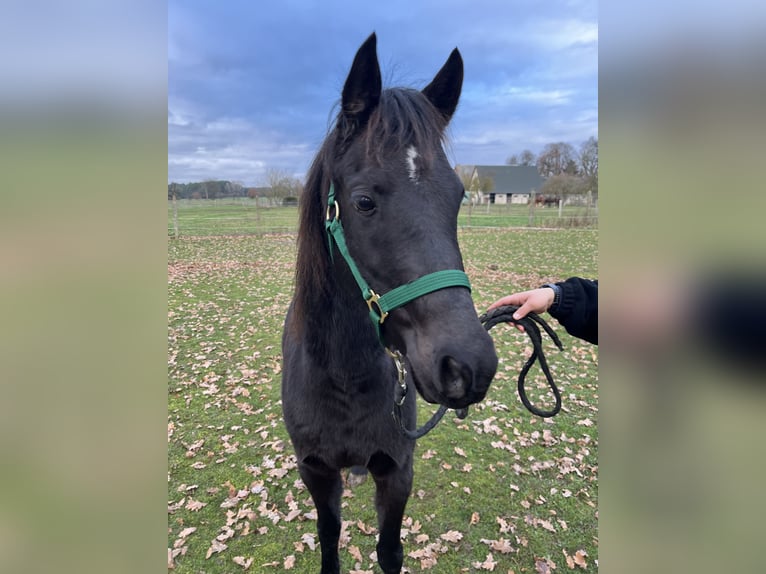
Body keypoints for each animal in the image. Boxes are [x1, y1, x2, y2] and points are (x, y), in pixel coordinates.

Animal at [282, 33, 498, 572]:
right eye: (363, 202)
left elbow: (389, 550)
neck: (344, 378)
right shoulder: (315, 471)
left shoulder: (398, 470)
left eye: (459, 197)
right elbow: (329, 537)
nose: (467, 365)